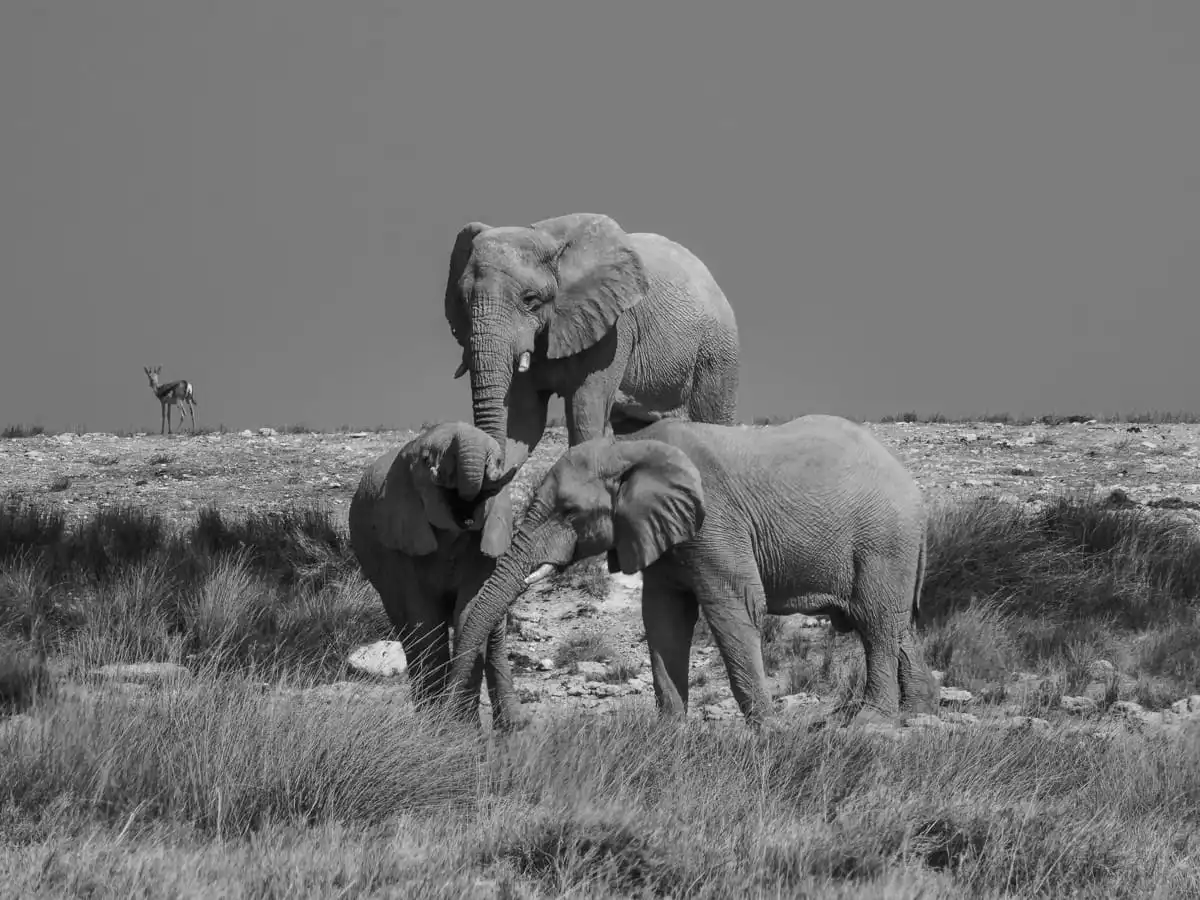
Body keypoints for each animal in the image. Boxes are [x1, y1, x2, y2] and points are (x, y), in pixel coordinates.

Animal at [348, 421, 523, 730]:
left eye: (499, 461)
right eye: (427, 459)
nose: (467, 516)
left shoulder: (486, 542)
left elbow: (469, 613)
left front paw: (463, 730)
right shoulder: (403, 536)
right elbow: (425, 620)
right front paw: (438, 729)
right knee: (407, 630)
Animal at [442, 212, 741, 477]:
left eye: (530, 300)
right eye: (462, 300)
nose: (491, 463)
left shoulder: (614, 327)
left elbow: (584, 413)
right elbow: (524, 421)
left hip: (717, 353)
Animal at [446, 414, 938, 729]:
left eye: (569, 511)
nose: (455, 720)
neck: (630, 445)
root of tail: (914, 487)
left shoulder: (715, 521)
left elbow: (734, 608)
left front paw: (770, 733)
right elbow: (663, 618)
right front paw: (670, 735)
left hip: (883, 542)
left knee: (875, 624)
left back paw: (871, 723)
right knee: (895, 626)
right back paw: (917, 713)